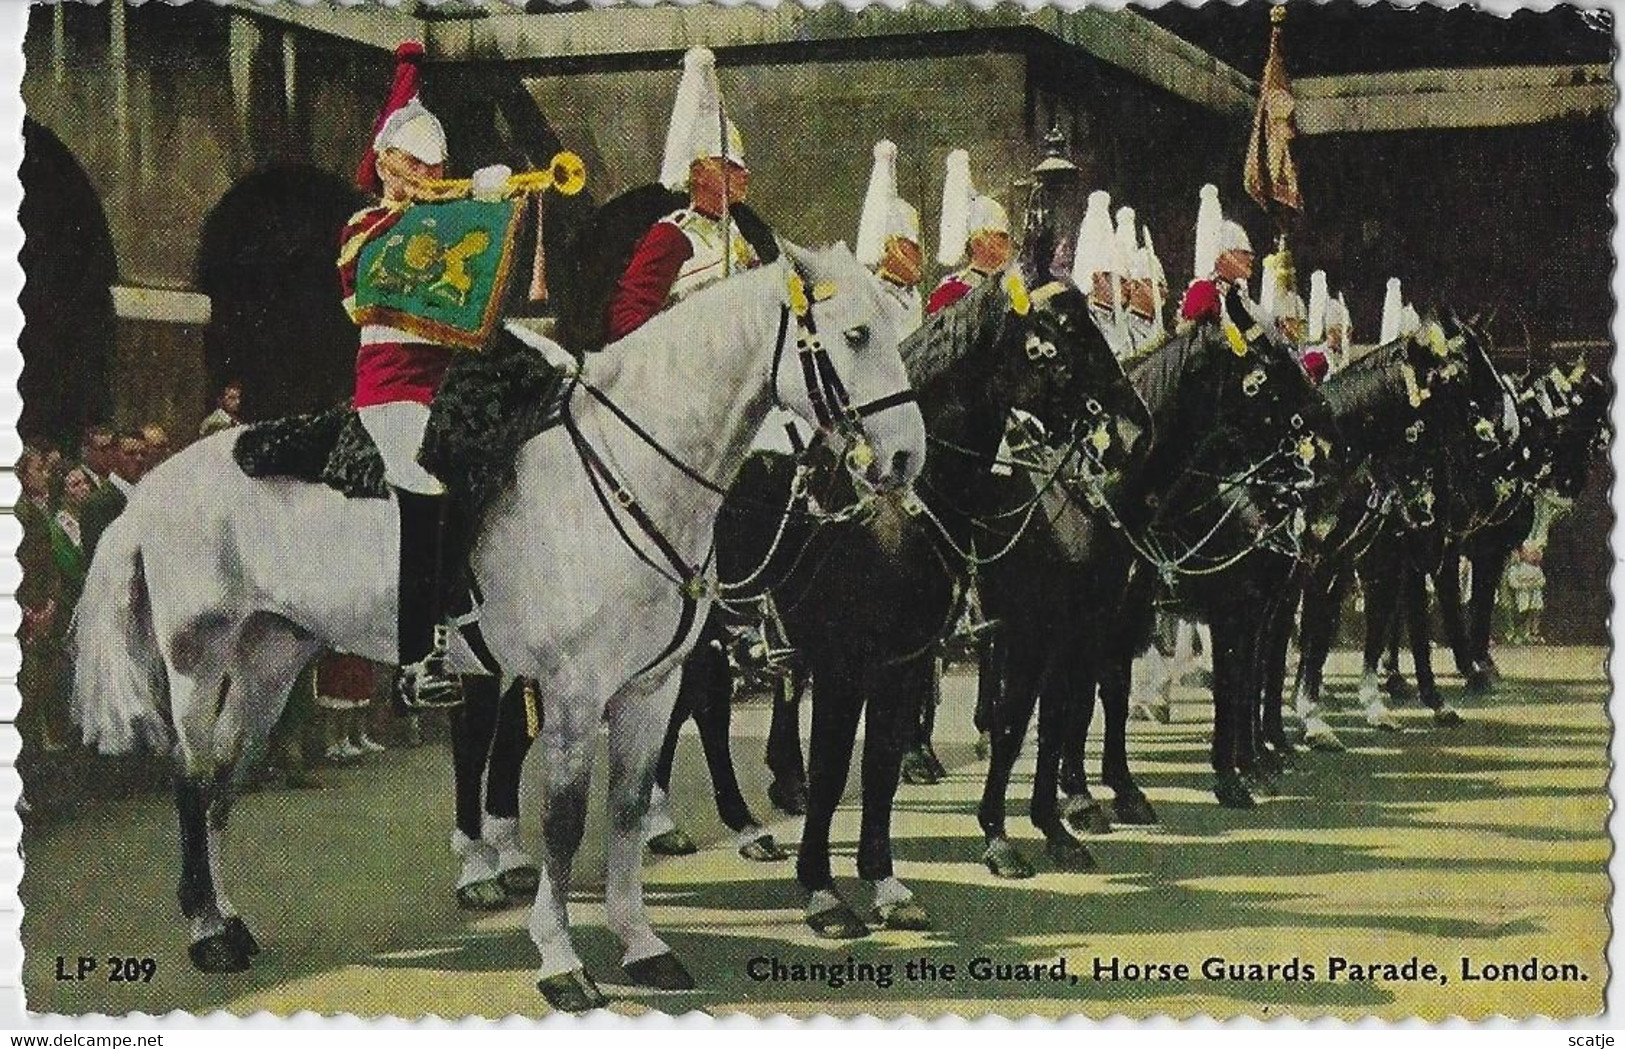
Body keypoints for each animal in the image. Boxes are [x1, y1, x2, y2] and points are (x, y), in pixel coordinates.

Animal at [73, 245, 929, 1013]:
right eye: (855, 333)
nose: (902, 459)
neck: (629, 470)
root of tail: (151, 485)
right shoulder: (575, 692)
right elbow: (563, 821)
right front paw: (560, 959)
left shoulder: (649, 689)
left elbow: (623, 811)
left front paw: (642, 944)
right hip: (198, 660)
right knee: (191, 777)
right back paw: (206, 931)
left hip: (270, 660)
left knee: (223, 778)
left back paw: (229, 919)